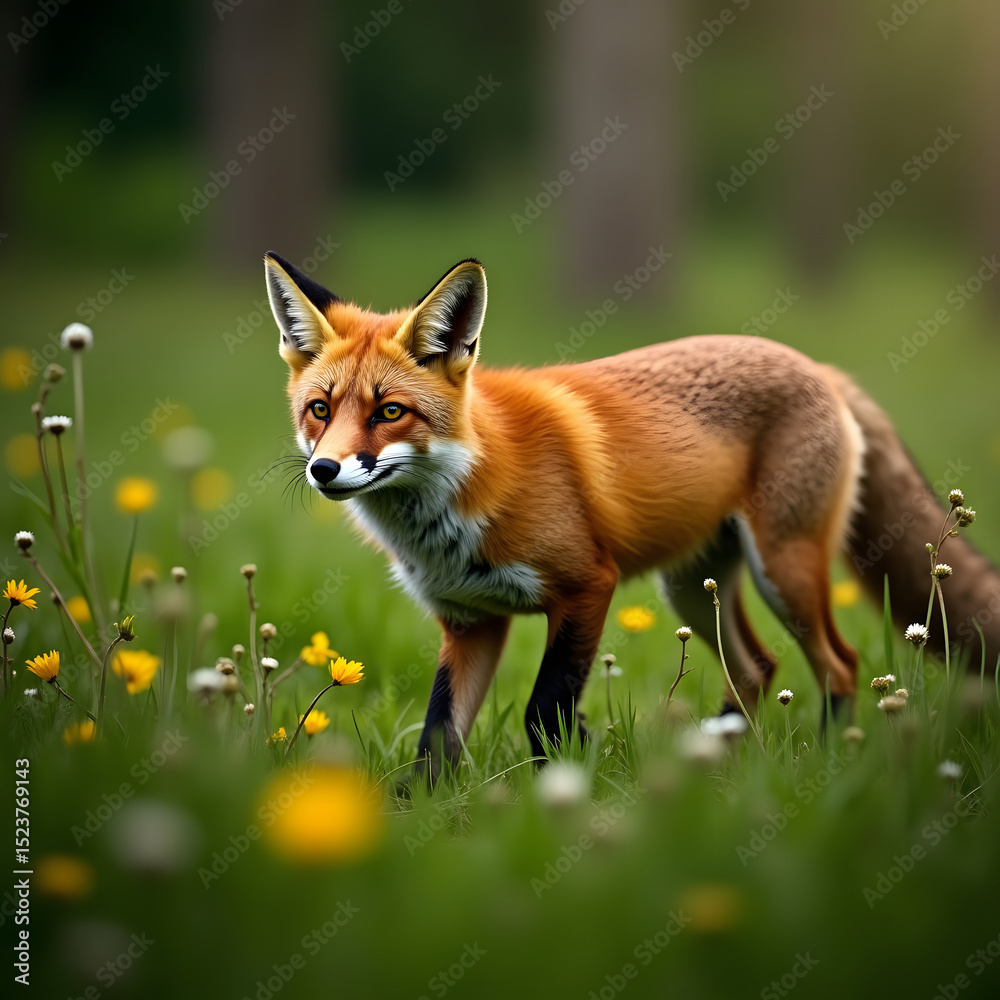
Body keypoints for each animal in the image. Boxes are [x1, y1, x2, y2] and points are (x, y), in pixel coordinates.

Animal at [264, 251, 1000, 772]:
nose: (324, 469)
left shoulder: (588, 586)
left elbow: (545, 713)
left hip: (782, 571)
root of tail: (819, 366)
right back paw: (717, 758)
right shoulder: (471, 622)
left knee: (839, 664)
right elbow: (438, 739)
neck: (469, 482)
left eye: (390, 412)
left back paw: (826, 762)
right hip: (693, 585)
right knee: (760, 668)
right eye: (320, 409)